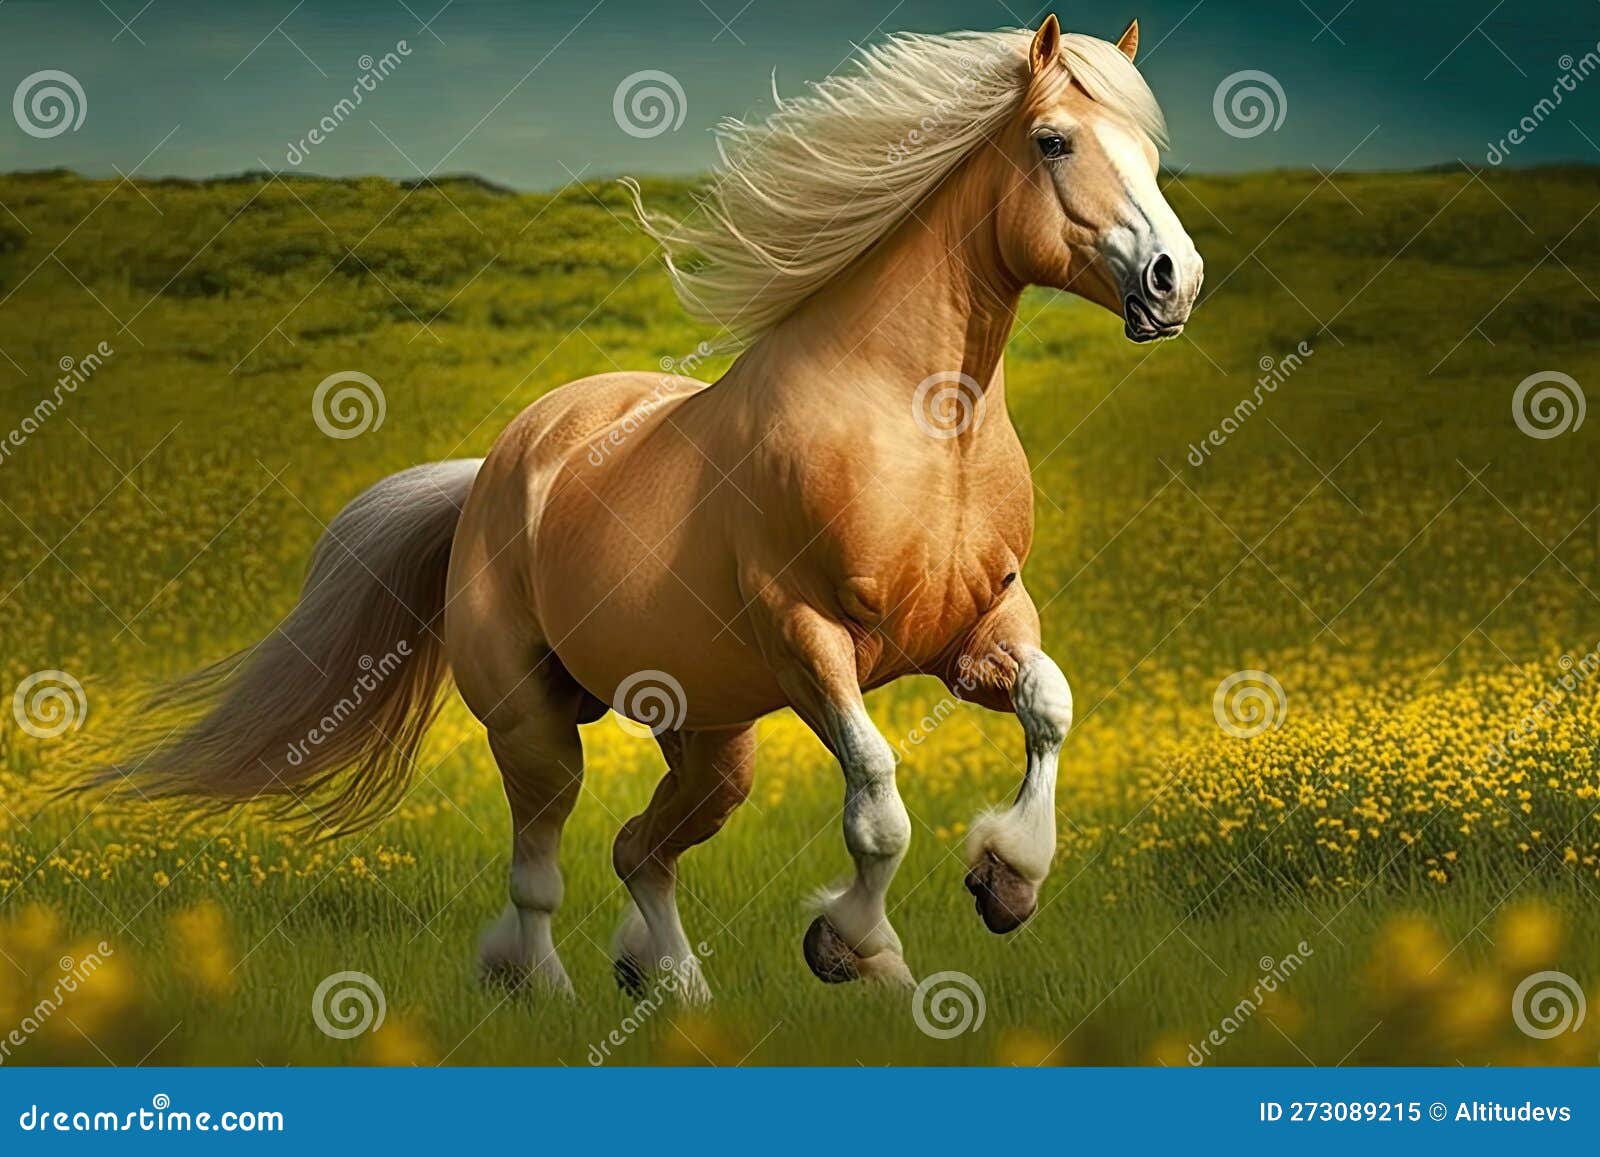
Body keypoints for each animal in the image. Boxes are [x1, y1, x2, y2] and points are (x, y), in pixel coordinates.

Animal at [95, 15, 1201, 1002]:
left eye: (1151, 151)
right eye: (1053, 140)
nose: (1172, 279)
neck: (922, 424)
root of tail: (494, 470)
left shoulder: (979, 626)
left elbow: (1049, 705)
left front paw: (1004, 881)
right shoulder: (809, 641)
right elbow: (877, 802)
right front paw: (853, 948)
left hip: (712, 741)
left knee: (640, 849)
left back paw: (667, 981)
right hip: (535, 722)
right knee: (541, 863)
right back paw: (543, 987)